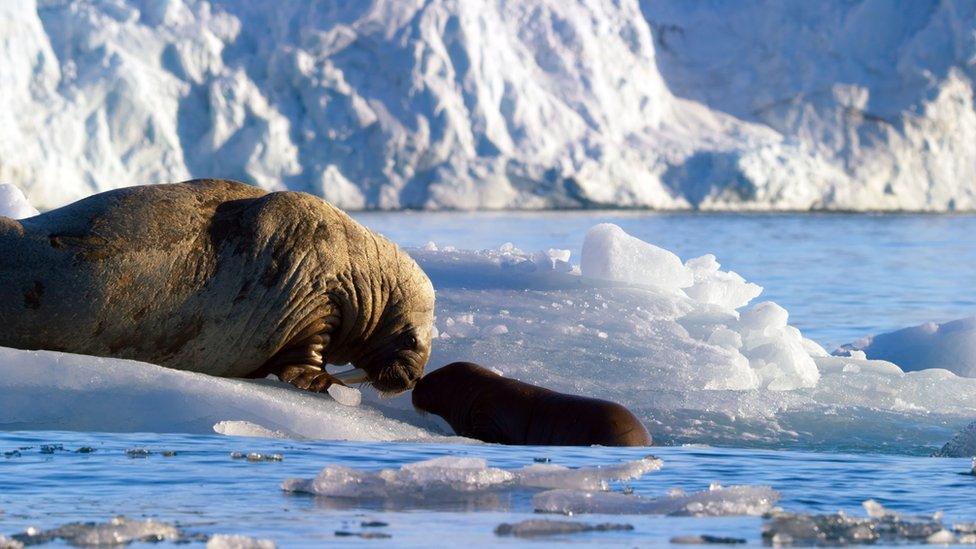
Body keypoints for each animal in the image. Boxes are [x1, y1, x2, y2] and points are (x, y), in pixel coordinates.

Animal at [0, 178, 434, 392]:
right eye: (412, 338)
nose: (412, 378)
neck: (359, 274)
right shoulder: (312, 301)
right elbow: (305, 359)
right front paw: (324, 382)